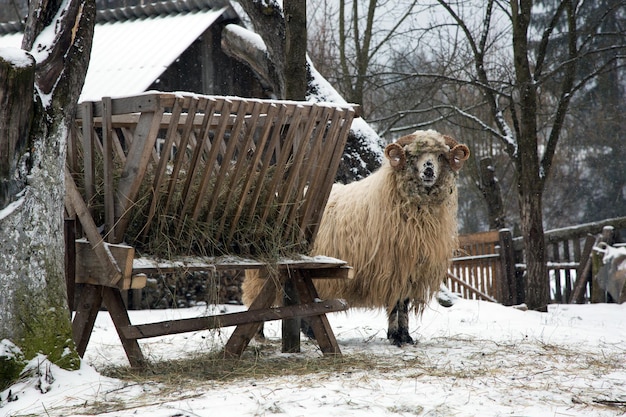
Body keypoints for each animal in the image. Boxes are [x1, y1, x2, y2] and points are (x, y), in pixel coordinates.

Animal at [241, 128, 466, 346]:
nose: (428, 170)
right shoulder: (392, 266)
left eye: (440, 156)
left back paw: (310, 333)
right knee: (255, 299)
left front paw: (405, 336)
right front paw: (396, 337)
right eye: (412, 155)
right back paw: (258, 335)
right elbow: (395, 304)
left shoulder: (410, 268)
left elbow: (404, 303)